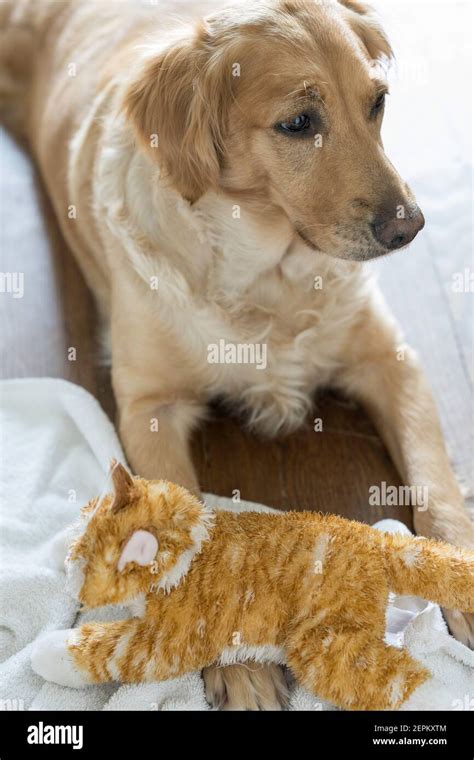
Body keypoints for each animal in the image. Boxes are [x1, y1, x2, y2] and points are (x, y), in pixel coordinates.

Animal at [1, 1, 472, 712]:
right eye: (299, 123)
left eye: (378, 103)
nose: (410, 226)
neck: (266, 277)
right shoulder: (150, 408)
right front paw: (239, 663)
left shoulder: (392, 359)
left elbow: (435, 482)